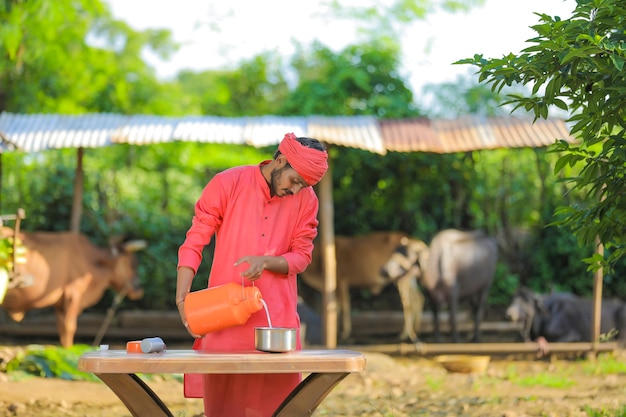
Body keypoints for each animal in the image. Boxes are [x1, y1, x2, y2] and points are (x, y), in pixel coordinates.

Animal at [0, 229, 144, 346]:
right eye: (132, 264)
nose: (138, 290)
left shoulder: (59, 302)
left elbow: (62, 329)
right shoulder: (73, 293)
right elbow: (69, 327)